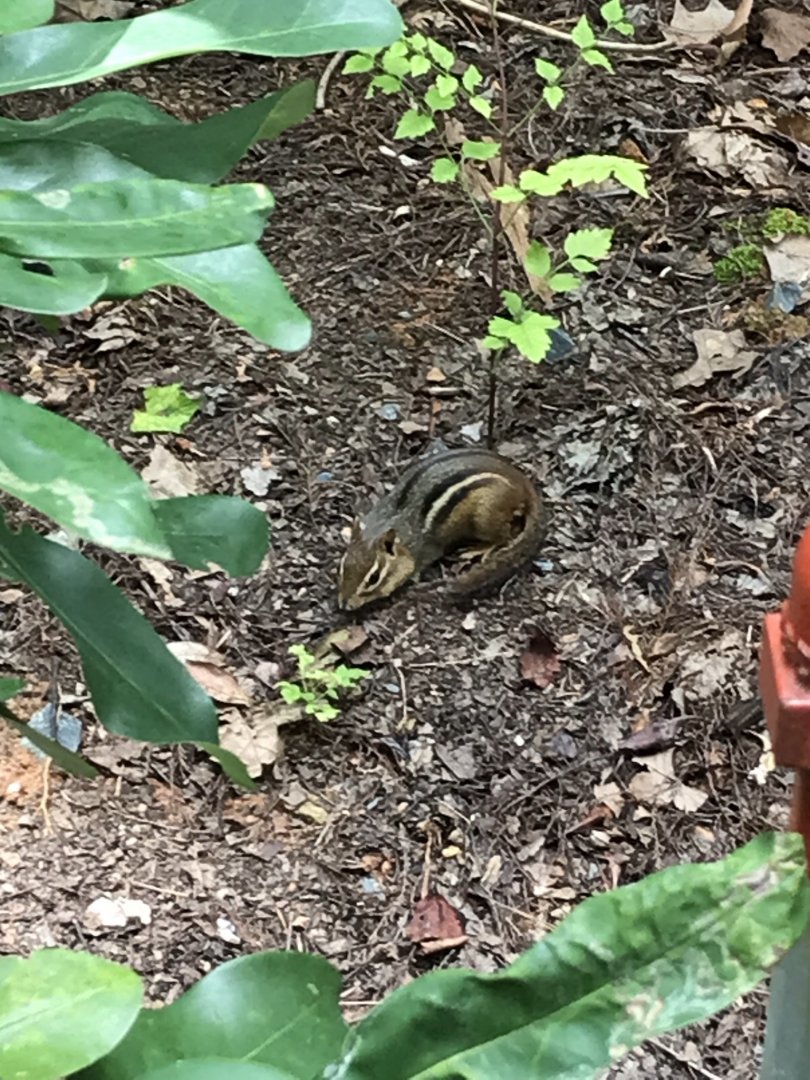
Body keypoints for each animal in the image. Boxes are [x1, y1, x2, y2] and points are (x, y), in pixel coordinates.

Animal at [337, 446, 546, 610]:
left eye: (374, 578)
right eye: (342, 566)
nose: (344, 604)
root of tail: (521, 480)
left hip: (486, 515)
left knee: (505, 537)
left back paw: (479, 548)